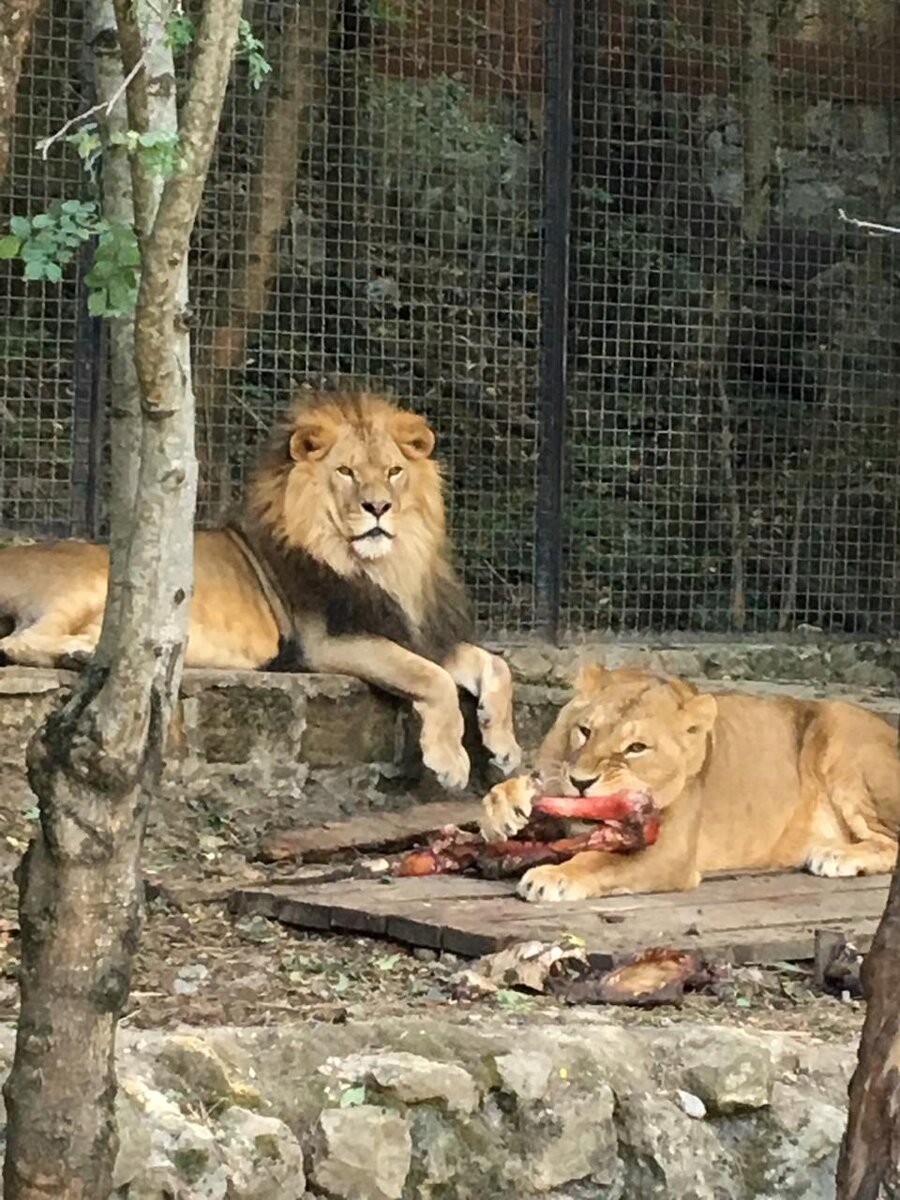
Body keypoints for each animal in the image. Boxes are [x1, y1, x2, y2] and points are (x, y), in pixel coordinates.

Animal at [0, 388, 520, 792]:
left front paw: (505, 747)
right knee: (18, 642)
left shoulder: (416, 630)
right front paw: (450, 761)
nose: (378, 507)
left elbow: (496, 665)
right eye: (347, 472)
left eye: (393, 471)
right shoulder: (327, 643)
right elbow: (431, 678)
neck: (384, 567)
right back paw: (80, 655)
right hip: (100, 582)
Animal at [482, 667, 897, 902]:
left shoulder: (670, 852)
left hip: (842, 741)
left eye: (636, 748)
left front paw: (553, 876)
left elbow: (602, 860)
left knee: (890, 841)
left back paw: (836, 855)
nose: (581, 782)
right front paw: (502, 809)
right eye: (585, 731)